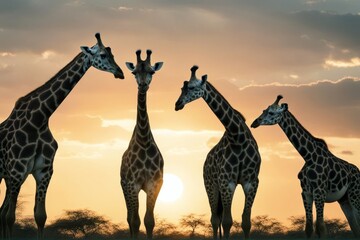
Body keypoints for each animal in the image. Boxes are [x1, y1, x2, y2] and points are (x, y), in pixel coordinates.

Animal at [0, 33, 124, 238]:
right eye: (103, 55)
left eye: (112, 54)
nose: (120, 73)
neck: (40, 118)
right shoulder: (17, 170)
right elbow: (11, 218)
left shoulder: (44, 171)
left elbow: (40, 216)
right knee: (4, 214)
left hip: (9, 177)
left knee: (1, 212)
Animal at [175, 65, 262, 240]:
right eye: (182, 88)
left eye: (192, 88)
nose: (178, 104)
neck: (238, 137)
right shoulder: (226, 181)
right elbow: (227, 221)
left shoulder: (251, 182)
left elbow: (246, 221)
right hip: (210, 185)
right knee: (215, 219)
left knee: (218, 218)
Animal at [250, 94, 360, 237]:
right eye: (264, 110)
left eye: (271, 113)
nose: (254, 123)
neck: (308, 156)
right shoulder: (306, 193)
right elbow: (308, 228)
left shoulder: (319, 192)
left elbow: (321, 227)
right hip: (344, 200)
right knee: (355, 227)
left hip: (355, 195)